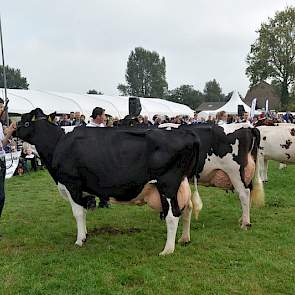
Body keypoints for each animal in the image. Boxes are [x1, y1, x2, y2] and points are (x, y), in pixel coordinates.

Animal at [16, 108, 201, 254]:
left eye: (25, 122)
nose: (13, 130)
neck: (58, 143)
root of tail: (186, 133)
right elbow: (84, 211)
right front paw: (85, 236)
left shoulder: (71, 184)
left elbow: (78, 213)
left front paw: (79, 240)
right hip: (181, 183)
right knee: (187, 208)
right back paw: (184, 239)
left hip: (167, 183)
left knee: (173, 214)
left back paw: (167, 250)